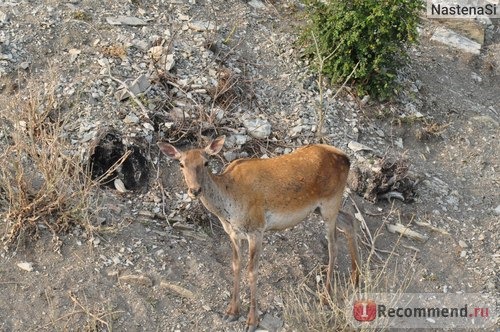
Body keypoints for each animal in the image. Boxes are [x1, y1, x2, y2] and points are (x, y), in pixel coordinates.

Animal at [157, 136, 360, 330]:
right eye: (181, 164)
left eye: (206, 162)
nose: (195, 190)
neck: (228, 208)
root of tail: (346, 158)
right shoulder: (233, 233)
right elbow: (236, 265)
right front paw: (231, 312)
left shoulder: (257, 229)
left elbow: (252, 271)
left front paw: (252, 321)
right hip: (321, 209)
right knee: (349, 220)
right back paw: (354, 279)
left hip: (330, 202)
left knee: (334, 245)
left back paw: (326, 296)